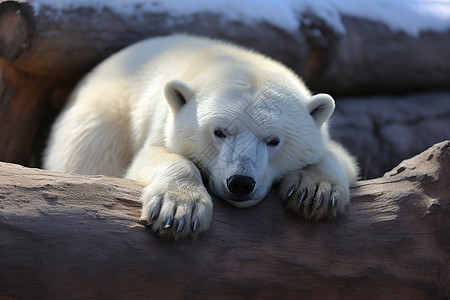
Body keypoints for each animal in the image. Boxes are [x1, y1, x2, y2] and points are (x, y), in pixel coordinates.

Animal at [43, 34, 358, 239]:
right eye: (219, 131)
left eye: (273, 140)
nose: (240, 182)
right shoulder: (163, 122)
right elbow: (153, 157)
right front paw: (178, 210)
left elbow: (339, 157)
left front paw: (315, 192)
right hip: (103, 119)